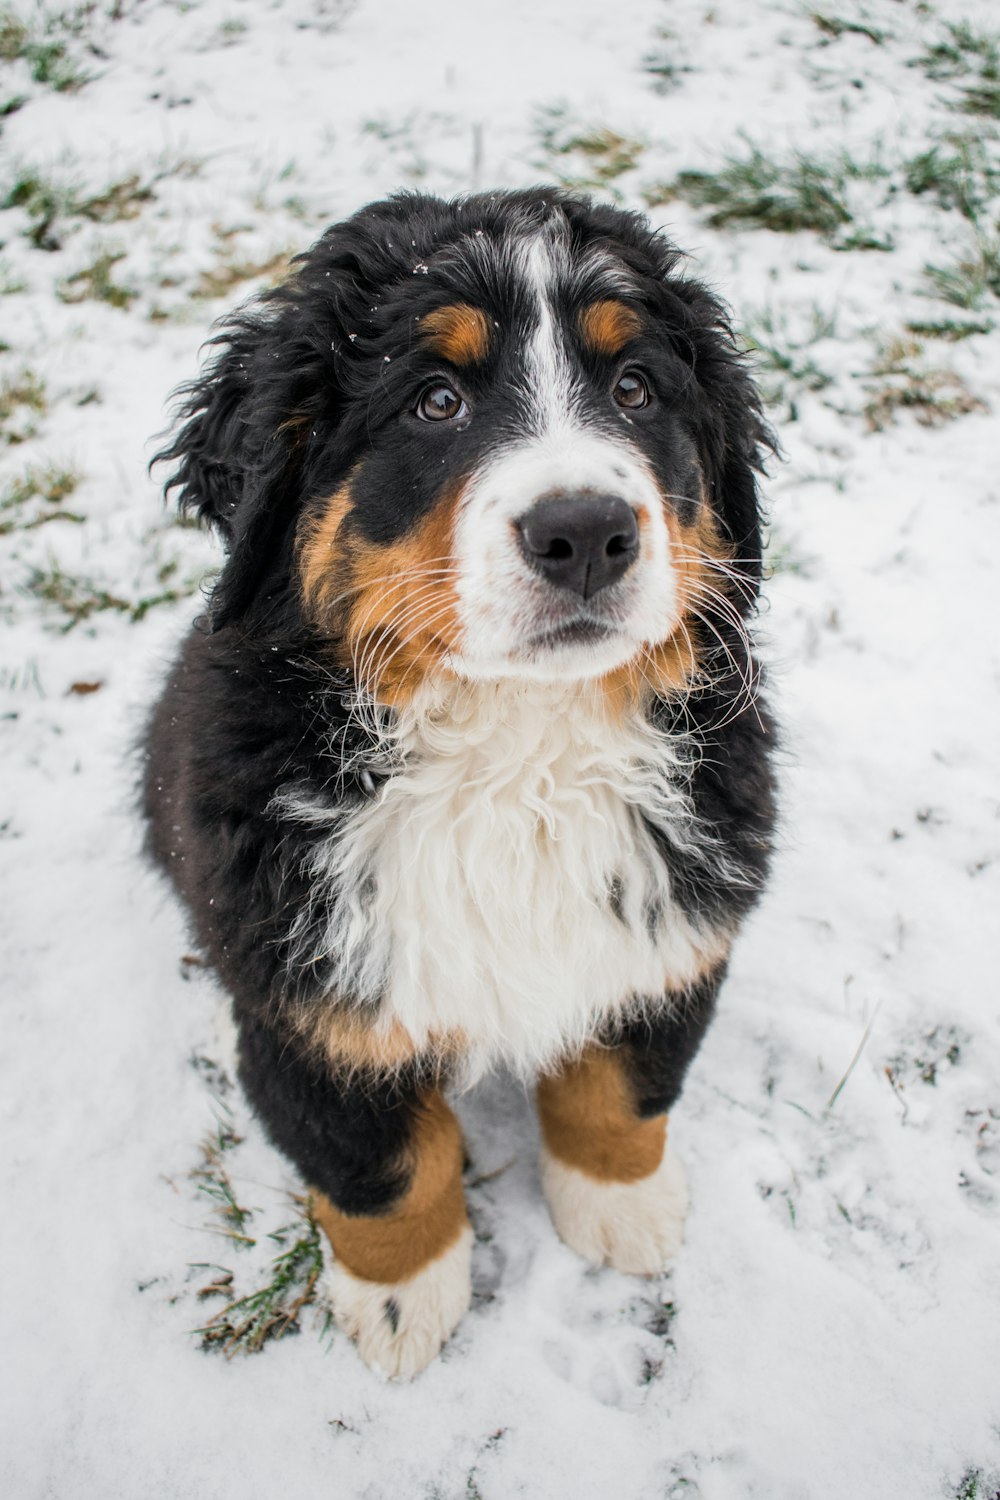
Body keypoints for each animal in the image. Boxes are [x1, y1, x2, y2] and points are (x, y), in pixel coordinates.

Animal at [144, 190, 779, 1380]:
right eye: (435, 401)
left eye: (635, 390)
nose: (586, 532)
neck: (513, 756)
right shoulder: (314, 1009)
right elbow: (384, 1165)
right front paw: (402, 1301)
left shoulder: (673, 927)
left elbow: (620, 1088)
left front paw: (623, 1208)